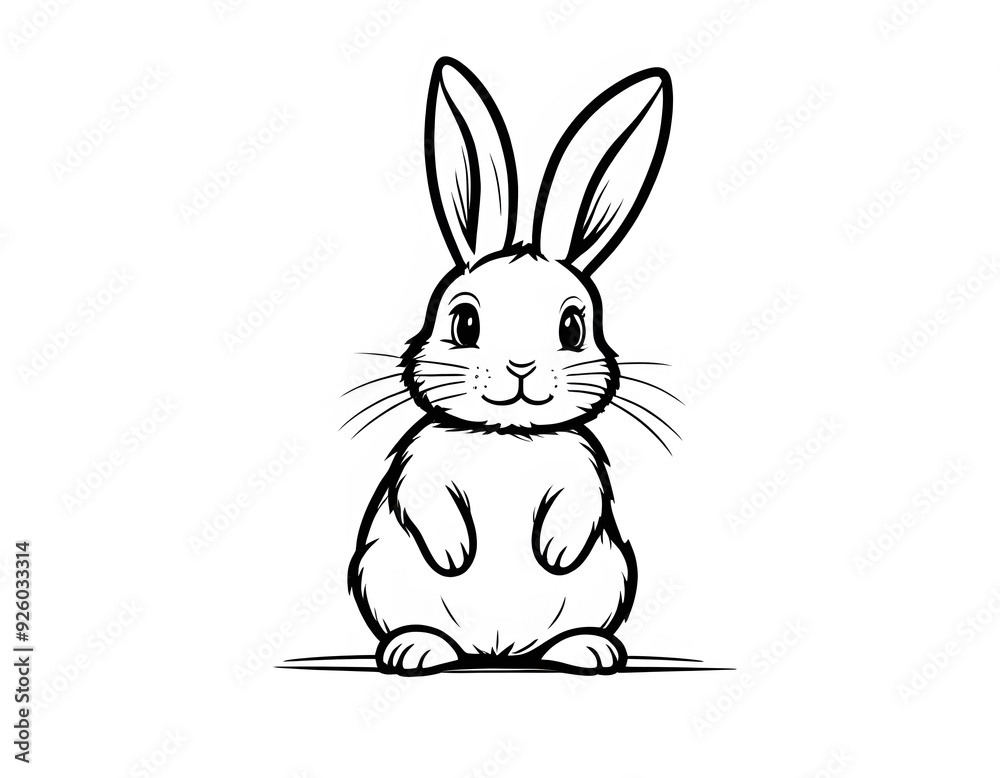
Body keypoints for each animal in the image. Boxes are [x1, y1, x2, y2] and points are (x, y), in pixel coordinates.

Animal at [348, 57, 673, 675]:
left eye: (572, 328)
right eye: (464, 323)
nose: (521, 366)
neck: (508, 436)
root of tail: (495, 651)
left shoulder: (582, 467)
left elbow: (579, 504)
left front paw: (556, 551)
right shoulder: (420, 462)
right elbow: (425, 501)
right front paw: (454, 554)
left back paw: (589, 650)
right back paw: (414, 648)